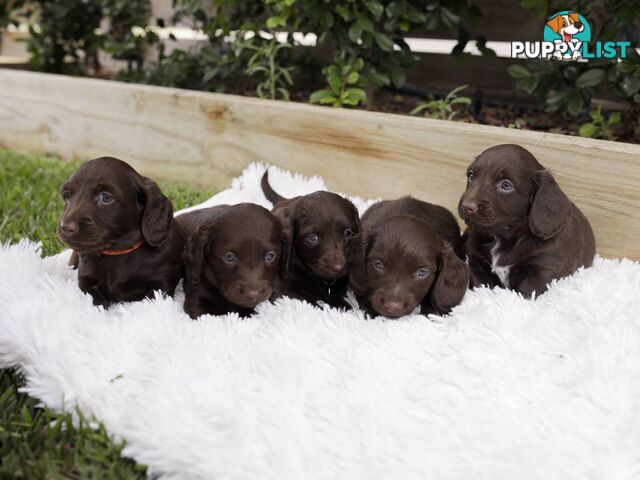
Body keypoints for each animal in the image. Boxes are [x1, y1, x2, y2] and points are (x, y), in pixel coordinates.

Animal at [57, 158, 185, 308]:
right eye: (67, 196)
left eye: (106, 197)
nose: (65, 227)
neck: (116, 253)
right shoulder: (86, 281)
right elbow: (96, 301)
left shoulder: (161, 282)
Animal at [458, 142, 596, 296]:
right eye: (471, 175)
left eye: (506, 185)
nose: (466, 206)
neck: (503, 238)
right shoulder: (476, 262)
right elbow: (482, 286)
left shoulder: (544, 269)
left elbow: (526, 291)